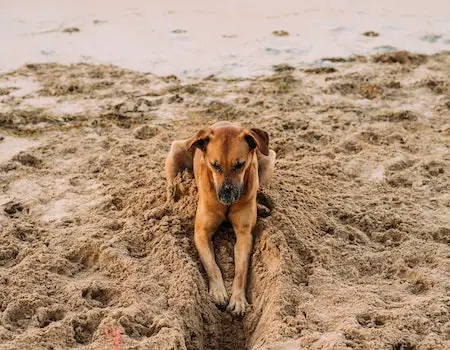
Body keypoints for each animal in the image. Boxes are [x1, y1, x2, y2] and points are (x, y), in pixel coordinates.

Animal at [165, 121, 276, 316]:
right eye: (215, 165)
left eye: (240, 165)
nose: (226, 196)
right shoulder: (201, 233)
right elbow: (211, 264)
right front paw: (218, 291)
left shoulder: (244, 235)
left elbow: (241, 270)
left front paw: (237, 299)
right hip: (176, 150)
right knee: (171, 184)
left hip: (268, 158)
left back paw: (261, 206)